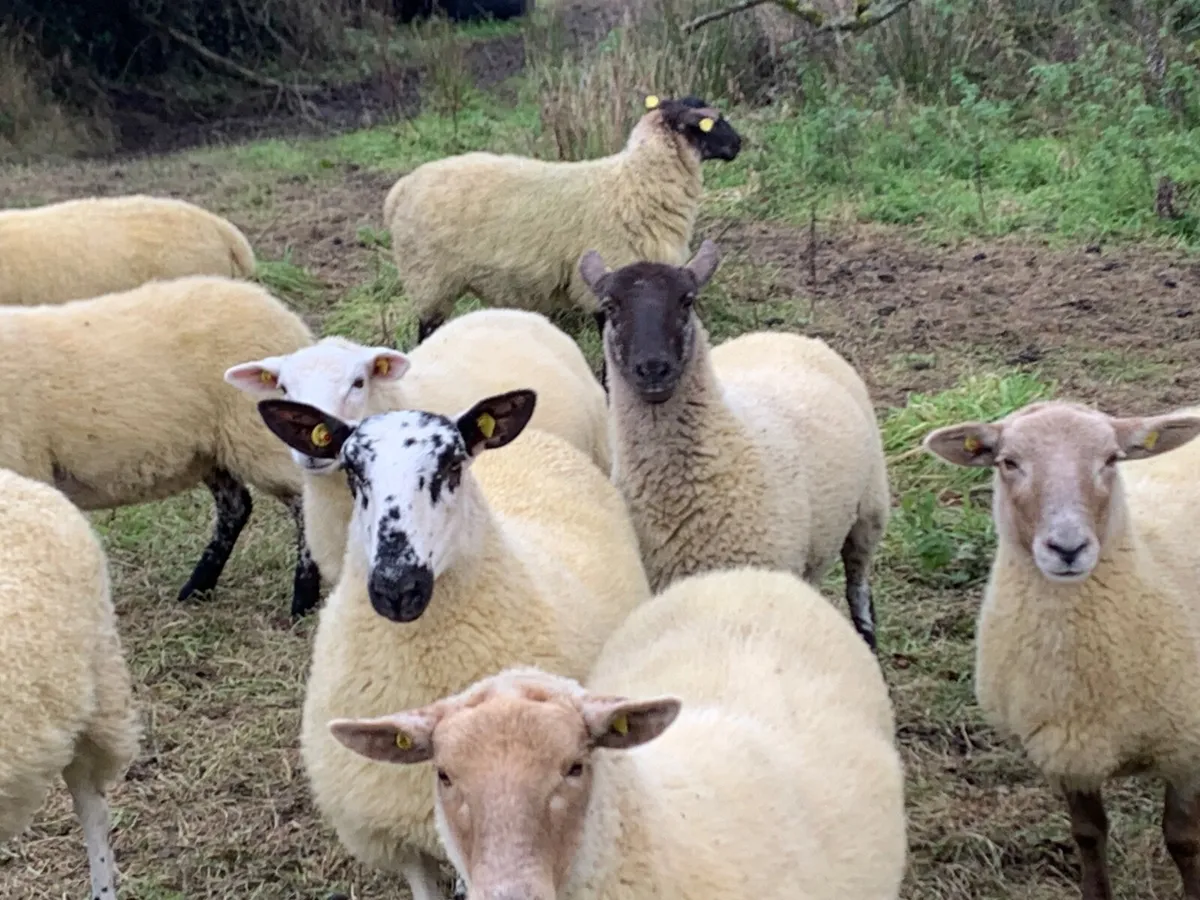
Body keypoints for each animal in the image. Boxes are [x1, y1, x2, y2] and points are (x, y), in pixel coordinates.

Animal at [0, 275, 322, 617]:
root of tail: (283, 314)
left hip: (260, 437)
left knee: (303, 504)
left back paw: (302, 602)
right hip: (211, 450)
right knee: (235, 507)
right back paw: (197, 588)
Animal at [383, 94, 742, 348]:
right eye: (707, 124)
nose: (739, 144)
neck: (635, 183)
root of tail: (400, 190)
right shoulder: (601, 287)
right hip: (430, 280)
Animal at [578, 238, 891, 650]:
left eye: (687, 301)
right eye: (610, 306)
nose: (653, 369)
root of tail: (782, 335)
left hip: (870, 509)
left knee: (858, 583)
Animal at [923, 399, 1200, 900]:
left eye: (1111, 459)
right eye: (1008, 462)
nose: (1067, 548)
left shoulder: (1186, 746)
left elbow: (1183, 841)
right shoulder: (1067, 745)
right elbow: (1088, 835)